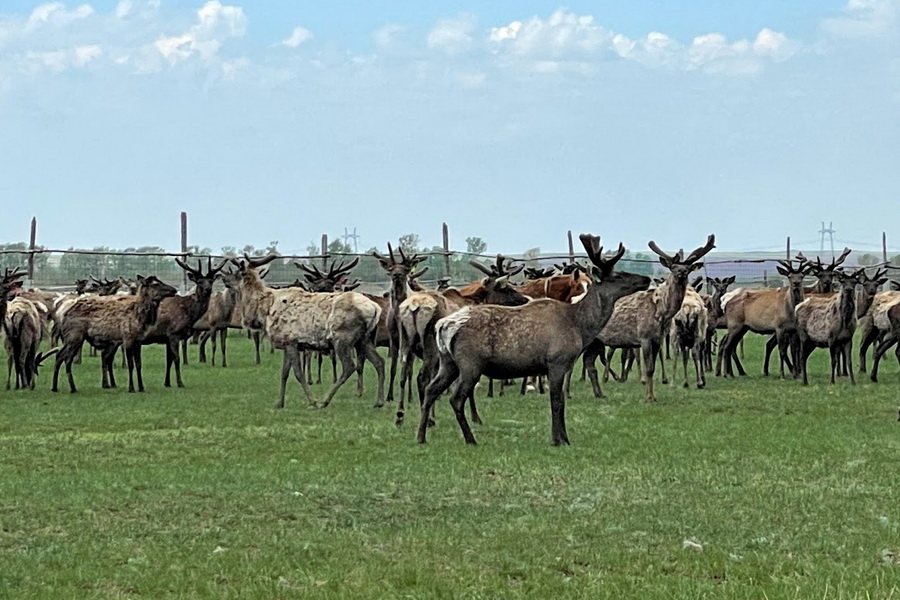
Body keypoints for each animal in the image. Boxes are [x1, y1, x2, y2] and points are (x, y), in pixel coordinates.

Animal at [50, 276, 178, 394]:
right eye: (156, 284)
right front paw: (131, 388)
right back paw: (72, 388)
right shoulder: (127, 339)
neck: (141, 318)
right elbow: (130, 365)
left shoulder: (138, 341)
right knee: (67, 359)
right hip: (75, 336)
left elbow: (138, 364)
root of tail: (63, 314)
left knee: (59, 355)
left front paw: (141, 387)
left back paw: (55, 387)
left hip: (71, 338)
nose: (174, 290)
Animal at [418, 234, 652, 446]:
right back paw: (470, 438)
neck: (580, 326)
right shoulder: (557, 361)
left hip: (448, 362)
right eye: (618, 275)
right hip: (470, 364)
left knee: (431, 390)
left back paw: (421, 436)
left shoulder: (562, 365)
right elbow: (556, 401)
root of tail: (443, 325)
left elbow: (561, 401)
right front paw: (558, 439)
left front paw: (564, 437)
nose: (646, 279)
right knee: (456, 398)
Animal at [584, 234, 716, 404]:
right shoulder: (645, 337)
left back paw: (599, 394)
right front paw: (648, 398)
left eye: (687, 268)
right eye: (673, 267)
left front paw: (652, 396)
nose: (681, 272)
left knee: (589, 363)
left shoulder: (657, 339)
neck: (662, 313)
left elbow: (652, 368)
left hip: (596, 341)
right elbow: (648, 369)